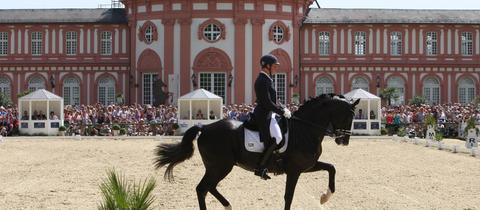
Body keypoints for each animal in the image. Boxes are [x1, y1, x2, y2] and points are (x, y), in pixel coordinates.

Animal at [154, 94, 360, 209]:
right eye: (349, 115)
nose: (344, 141)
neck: (305, 130)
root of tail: (204, 127)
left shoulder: (307, 166)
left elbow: (331, 168)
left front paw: (325, 197)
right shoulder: (294, 171)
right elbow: (288, 197)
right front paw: (324, 197)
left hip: (218, 167)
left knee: (208, 188)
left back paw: (228, 206)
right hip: (220, 166)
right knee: (202, 189)